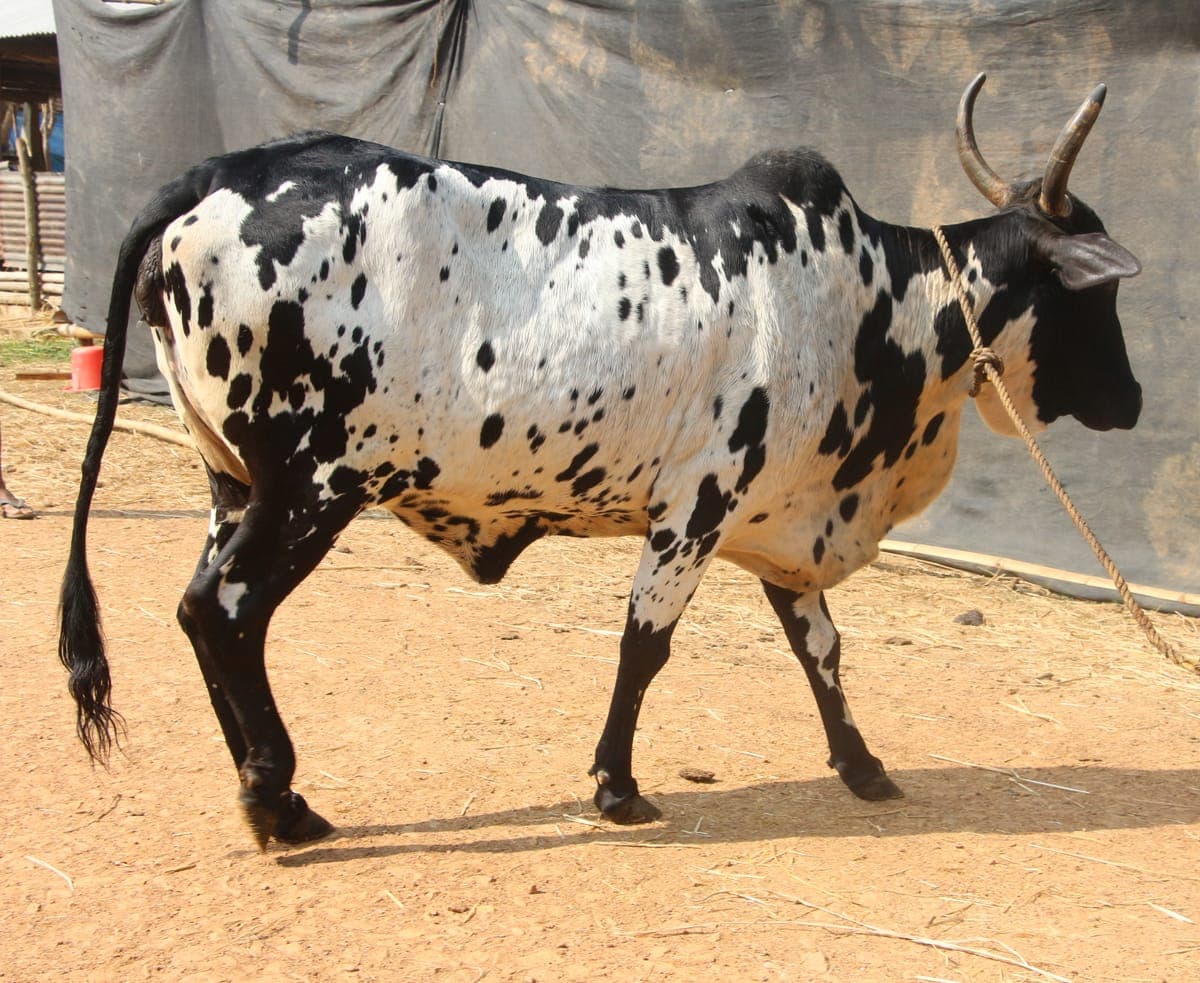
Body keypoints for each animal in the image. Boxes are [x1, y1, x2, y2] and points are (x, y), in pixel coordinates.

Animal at [60, 75, 1142, 849]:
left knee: (203, 614)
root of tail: (212, 177)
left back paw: (264, 781)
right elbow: (644, 647)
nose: (1131, 401)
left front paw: (865, 766)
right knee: (223, 609)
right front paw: (619, 785)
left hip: (230, 481)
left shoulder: (779, 522)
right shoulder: (697, 506)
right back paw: (279, 800)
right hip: (311, 486)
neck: (872, 296)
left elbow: (822, 651)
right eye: (1098, 293)